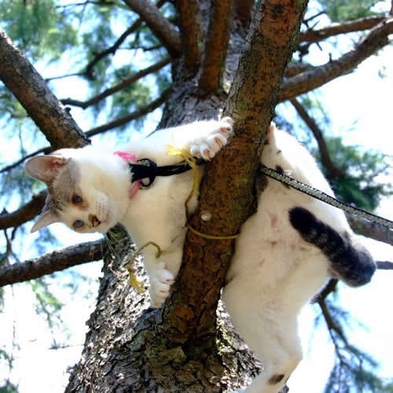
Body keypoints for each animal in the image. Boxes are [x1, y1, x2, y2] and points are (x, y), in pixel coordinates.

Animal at [23, 118, 374, 392]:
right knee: (287, 359)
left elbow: (194, 139)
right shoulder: (160, 239)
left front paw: (206, 140)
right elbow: (156, 259)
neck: (141, 184)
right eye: (77, 224)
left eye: (77, 199)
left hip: (306, 190)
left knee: (290, 173)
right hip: (248, 298)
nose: (94, 222)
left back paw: (272, 151)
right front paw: (157, 285)